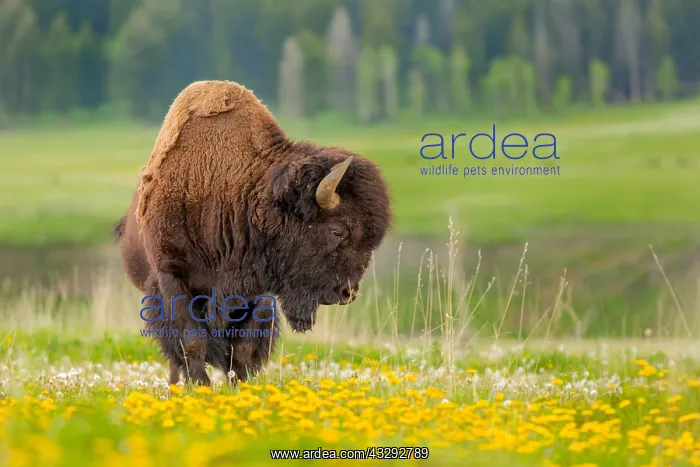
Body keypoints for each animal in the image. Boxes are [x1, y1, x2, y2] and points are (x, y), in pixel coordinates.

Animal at [113, 80, 392, 386]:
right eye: (338, 230)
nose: (347, 292)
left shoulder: (257, 291)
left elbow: (244, 347)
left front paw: (240, 386)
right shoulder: (171, 276)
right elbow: (191, 341)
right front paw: (201, 387)